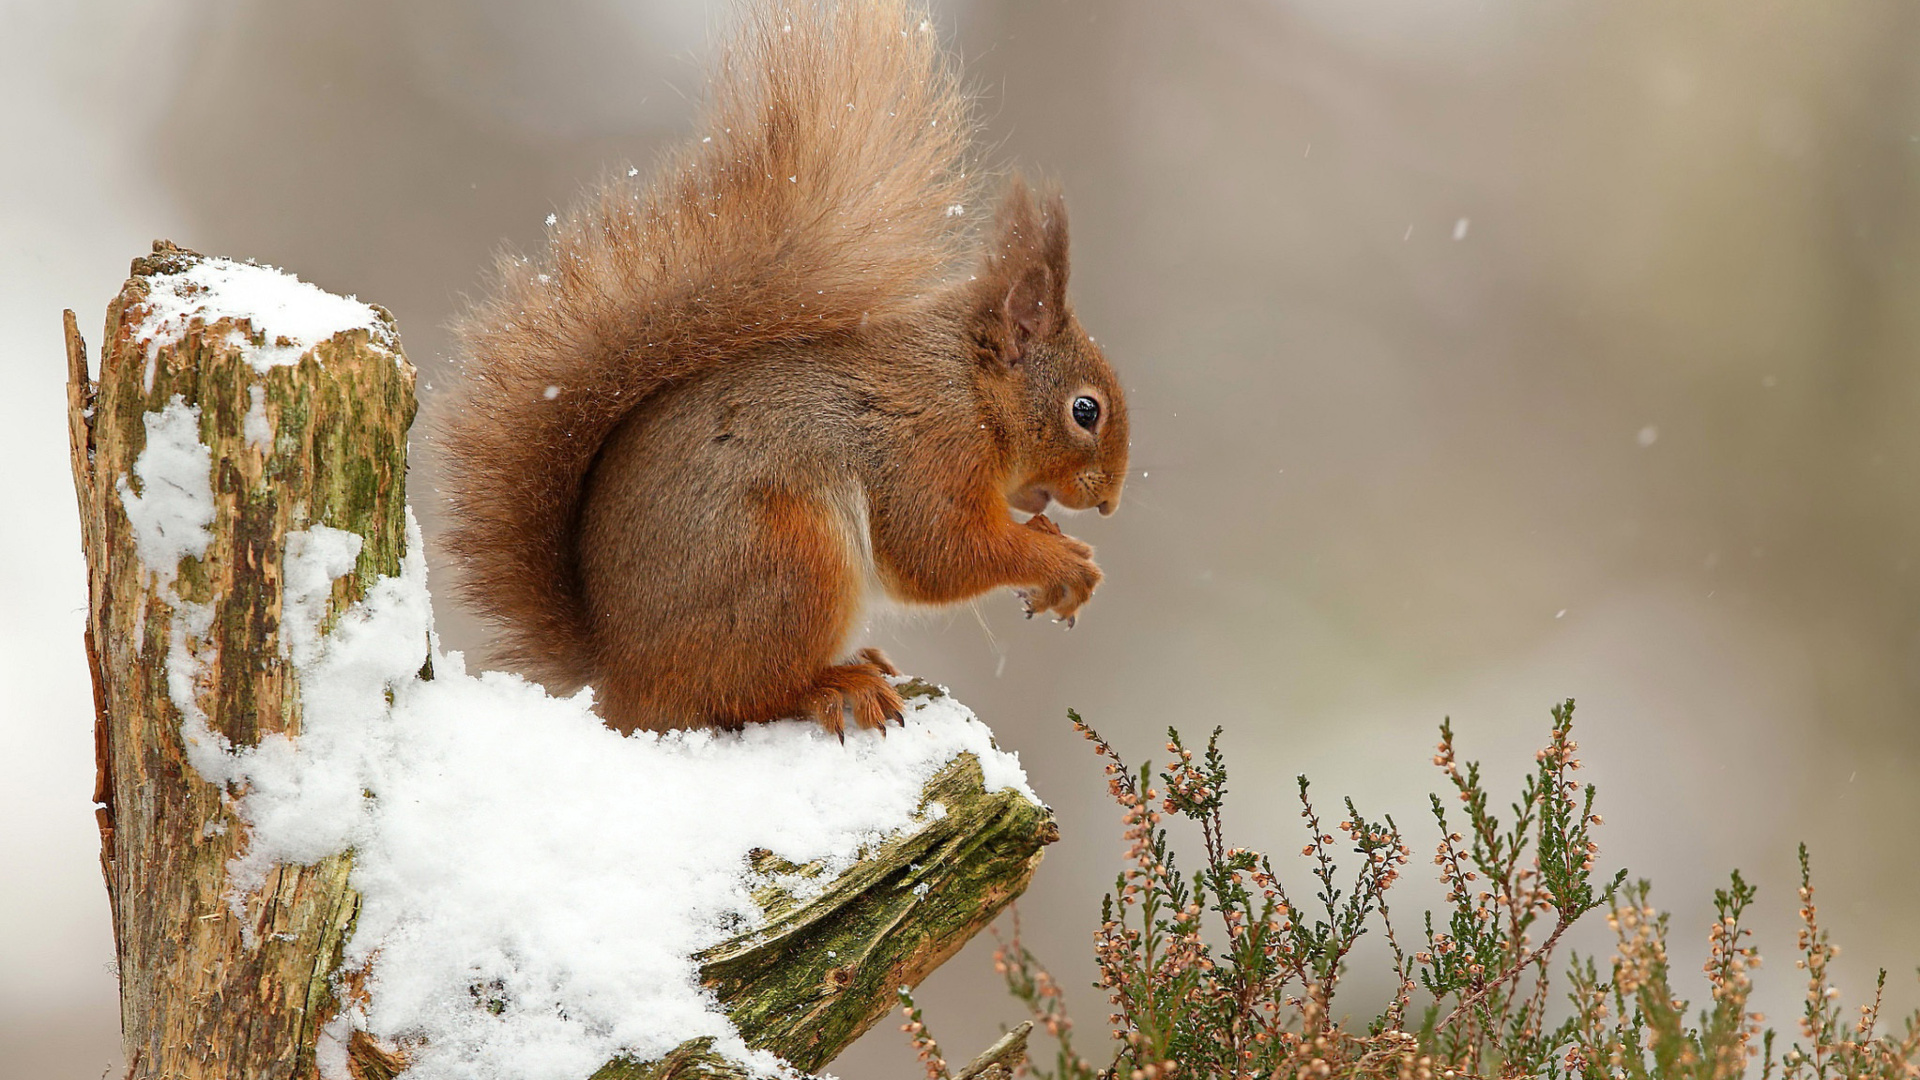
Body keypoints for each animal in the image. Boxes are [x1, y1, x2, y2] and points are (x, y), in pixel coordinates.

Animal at [432, 0, 1121, 730]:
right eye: (1085, 410)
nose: (1108, 502)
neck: (969, 391)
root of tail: (621, 681)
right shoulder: (927, 453)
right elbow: (939, 553)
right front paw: (1059, 559)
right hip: (791, 560)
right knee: (744, 694)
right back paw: (834, 684)